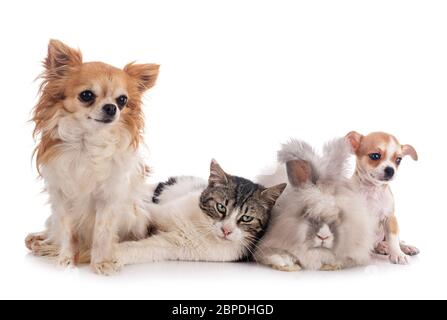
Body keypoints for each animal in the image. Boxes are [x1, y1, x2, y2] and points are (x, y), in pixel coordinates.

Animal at [25, 40, 160, 276]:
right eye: (86, 95)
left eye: (122, 100)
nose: (111, 107)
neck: (86, 143)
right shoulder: (62, 197)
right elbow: (68, 233)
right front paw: (66, 260)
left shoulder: (107, 199)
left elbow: (102, 232)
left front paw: (101, 262)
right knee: (55, 232)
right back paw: (42, 242)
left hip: (135, 217)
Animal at [256, 138, 378, 270]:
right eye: (307, 213)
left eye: (339, 216)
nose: (323, 236)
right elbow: (277, 256)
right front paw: (288, 265)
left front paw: (331, 266)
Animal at [346, 131, 420, 264]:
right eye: (375, 156)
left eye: (398, 160)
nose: (390, 170)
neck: (372, 190)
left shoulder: (390, 219)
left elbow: (393, 239)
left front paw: (397, 254)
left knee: (395, 241)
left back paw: (404, 247)